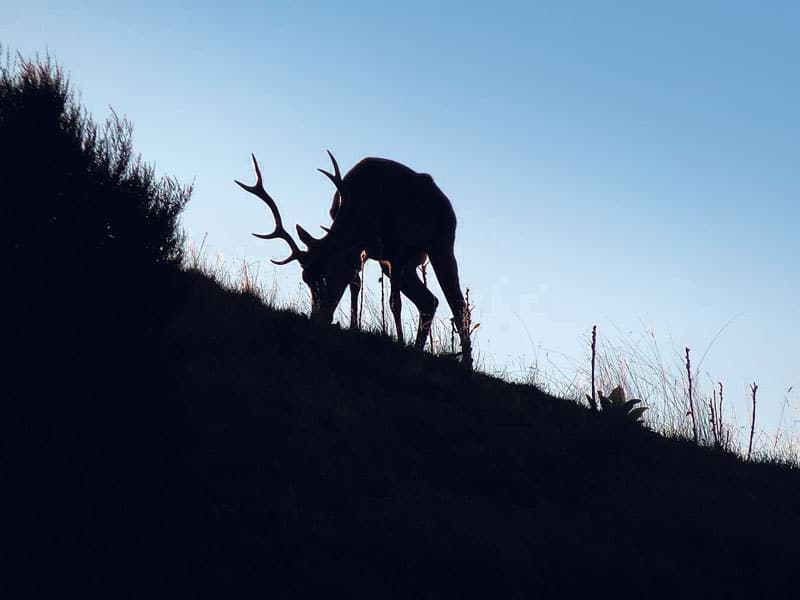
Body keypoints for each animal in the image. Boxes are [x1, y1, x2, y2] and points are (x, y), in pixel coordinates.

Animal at [238, 152, 476, 368]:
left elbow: (394, 302)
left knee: (458, 304)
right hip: (405, 264)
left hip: (441, 245)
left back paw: (466, 362)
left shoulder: (396, 250)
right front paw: (354, 328)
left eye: (325, 276)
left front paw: (399, 342)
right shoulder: (364, 251)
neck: (361, 214)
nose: (318, 318)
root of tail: (447, 203)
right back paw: (419, 350)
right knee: (429, 300)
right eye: (306, 280)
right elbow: (356, 285)